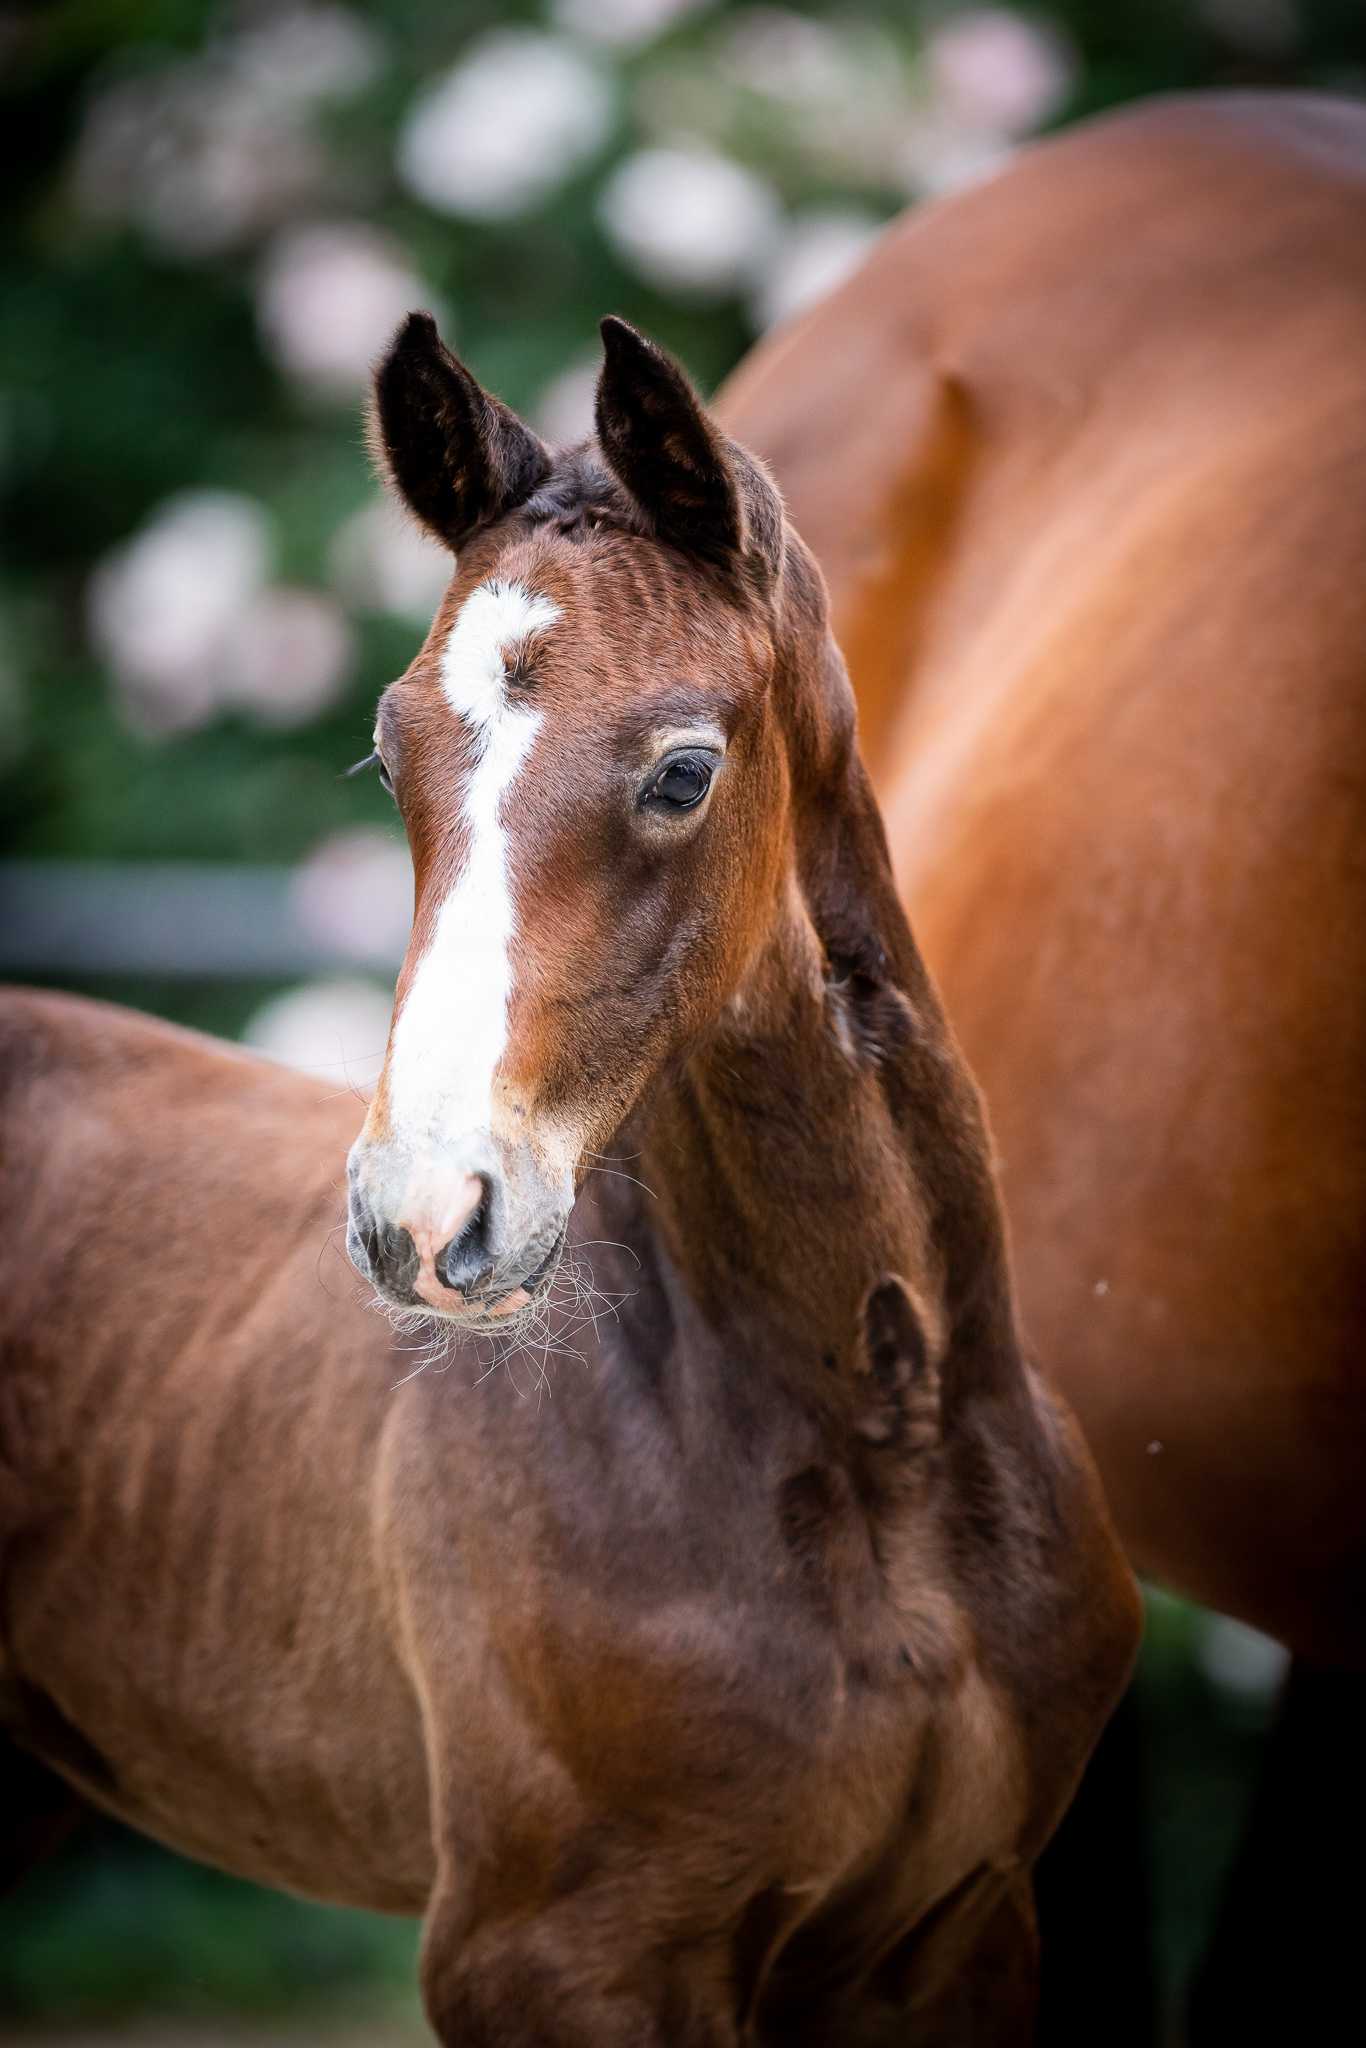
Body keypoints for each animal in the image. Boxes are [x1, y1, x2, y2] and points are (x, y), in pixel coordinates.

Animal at [0, 316, 1138, 2042]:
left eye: (681, 770)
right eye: (390, 750)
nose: (419, 1219)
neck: (884, 1462)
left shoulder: (956, 1936)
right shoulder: (552, 1960)